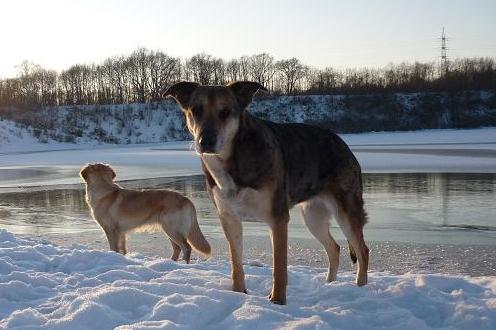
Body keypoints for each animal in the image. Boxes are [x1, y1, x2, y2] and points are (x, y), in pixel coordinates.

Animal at [80, 163, 211, 262]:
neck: (103, 189)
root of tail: (185, 198)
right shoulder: (121, 231)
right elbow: (122, 249)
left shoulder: (111, 229)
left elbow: (114, 248)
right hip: (169, 229)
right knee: (177, 249)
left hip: (172, 229)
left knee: (186, 248)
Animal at [164, 80, 368, 304]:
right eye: (196, 110)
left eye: (225, 112)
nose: (205, 141)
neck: (233, 160)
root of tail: (342, 143)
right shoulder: (229, 218)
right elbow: (236, 265)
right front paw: (238, 294)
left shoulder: (277, 218)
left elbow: (279, 268)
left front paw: (277, 301)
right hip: (313, 215)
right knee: (334, 248)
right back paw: (329, 285)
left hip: (346, 211)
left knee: (362, 251)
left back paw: (361, 288)